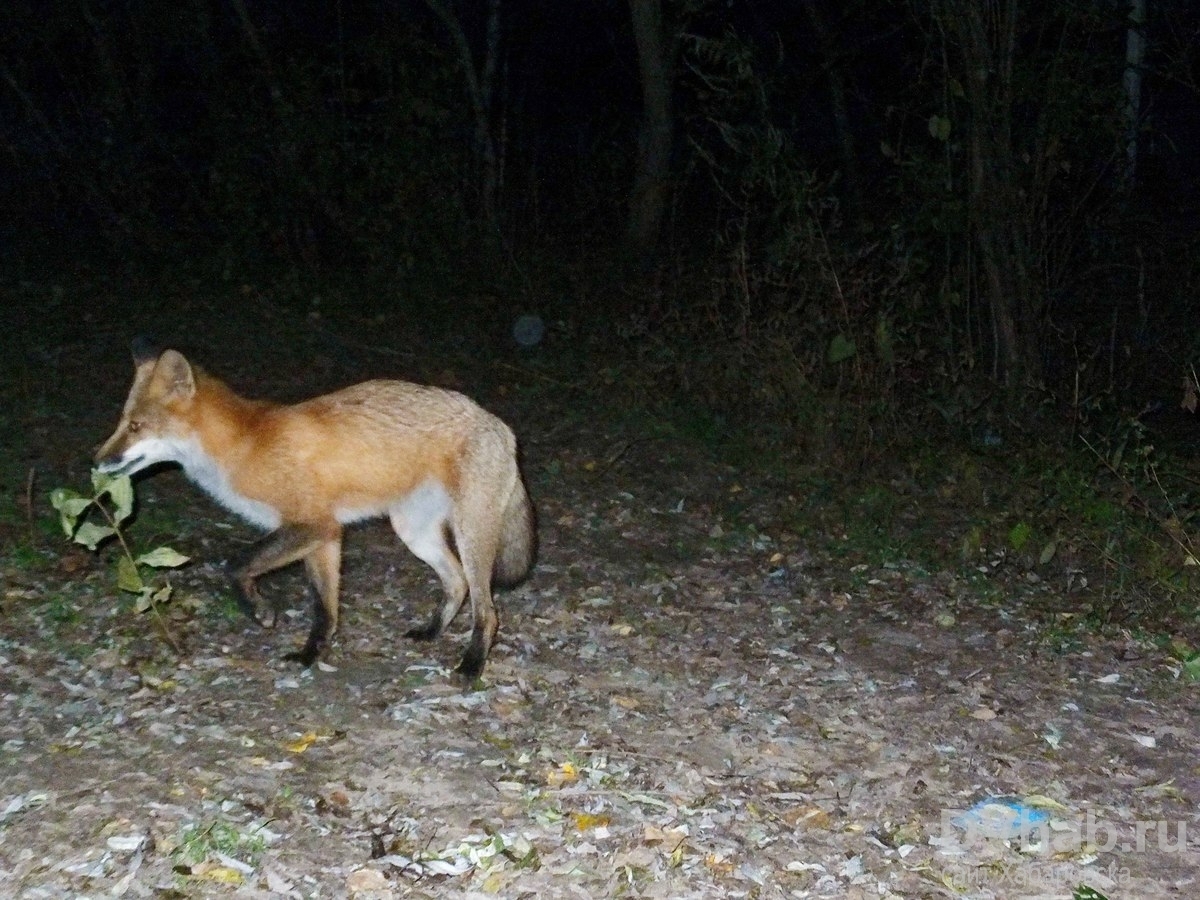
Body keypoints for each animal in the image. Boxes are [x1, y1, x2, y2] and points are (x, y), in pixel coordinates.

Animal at [96, 336, 537, 676]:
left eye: (135, 427)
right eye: (122, 423)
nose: (97, 462)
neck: (242, 447)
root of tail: (498, 423)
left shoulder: (315, 525)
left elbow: (236, 565)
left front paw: (260, 612)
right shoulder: (324, 537)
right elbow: (326, 610)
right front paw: (311, 655)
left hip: (469, 535)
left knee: (487, 610)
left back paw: (472, 665)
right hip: (414, 532)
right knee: (456, 584)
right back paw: (431, 633)